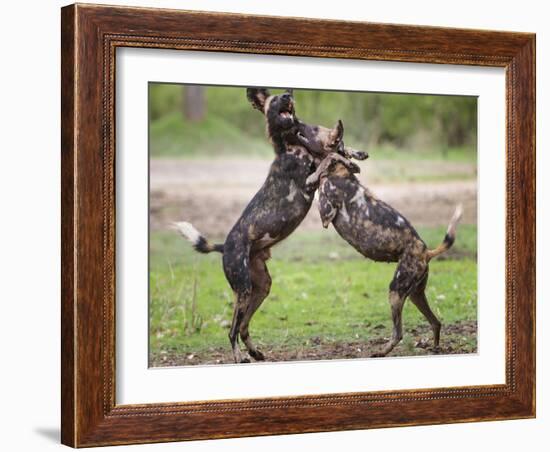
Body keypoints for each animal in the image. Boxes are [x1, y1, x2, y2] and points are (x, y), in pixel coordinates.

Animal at [176, 88, 366, 364]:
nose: (288, 94)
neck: (293, 146)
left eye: (286, 95)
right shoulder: (309, 181)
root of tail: (225, 246)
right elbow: (330, 155)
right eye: (275, 100)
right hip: (243, 290)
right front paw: (347, 159)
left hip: (262, 287)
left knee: (244, 326)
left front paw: (356, 155)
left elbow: (334, 149)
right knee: (232, 330)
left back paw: (255, 352)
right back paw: (240, 357)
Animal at [302, 122, 466, 356]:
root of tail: (426, 251)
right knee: (436, 322)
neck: (338, 174)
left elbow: (328, 160)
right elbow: (340, 157)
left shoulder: (325, 214)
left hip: (395, 292)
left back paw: (381, 351)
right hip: (415, 294)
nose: (297, 125)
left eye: (314, 129)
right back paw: (435, 348)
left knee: (398, 332)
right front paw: (352, 157)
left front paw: (332, 163)